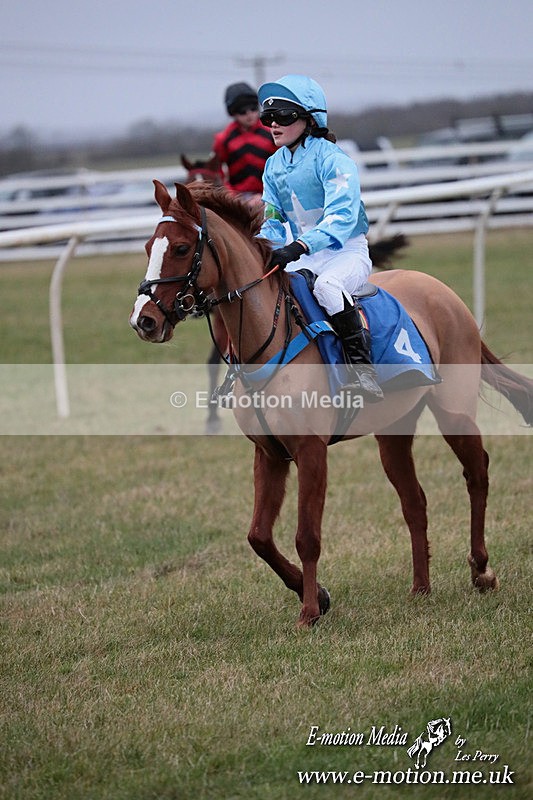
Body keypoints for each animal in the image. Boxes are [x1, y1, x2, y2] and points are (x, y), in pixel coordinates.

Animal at [129, 181, 533, 628]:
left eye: (182, 248)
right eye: (148, 247)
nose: (144, 320)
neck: (269, 337)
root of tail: (444, 293)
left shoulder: (311, 450)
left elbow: (307, 535)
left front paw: (308, 611)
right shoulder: (269, 452)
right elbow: (258, 536)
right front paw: (317, 595)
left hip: (453, 411)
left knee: (477, 472)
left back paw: (481, 570)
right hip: (393, 431)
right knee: (414, 501)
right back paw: (421, 587)